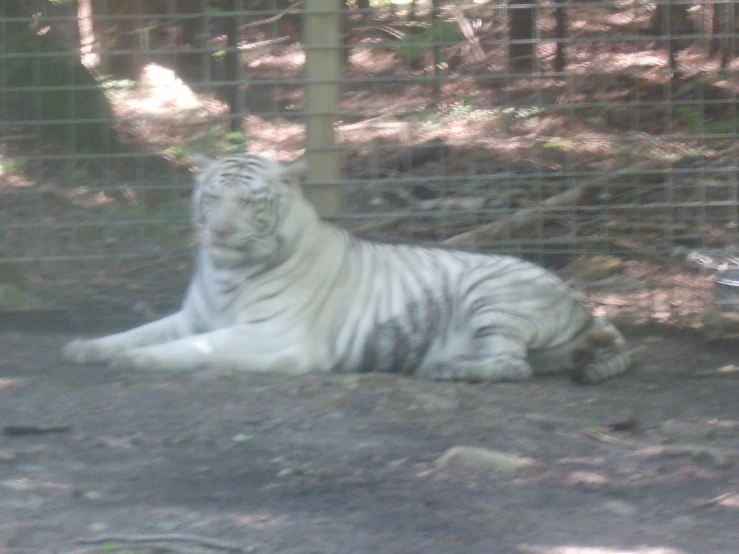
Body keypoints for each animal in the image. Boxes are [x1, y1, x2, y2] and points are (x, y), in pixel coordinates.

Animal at [62, 153, 632, 382]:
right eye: (212, 198)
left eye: (249, 202)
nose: (219, 232)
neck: (225, 274)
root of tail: (585, 306)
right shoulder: (193, 316)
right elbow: (139, 331)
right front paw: (87, 347)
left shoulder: (272, 337)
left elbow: (191, 348)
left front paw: (139, 361)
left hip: (492, 294)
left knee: (514, 366)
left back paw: (449, 369)